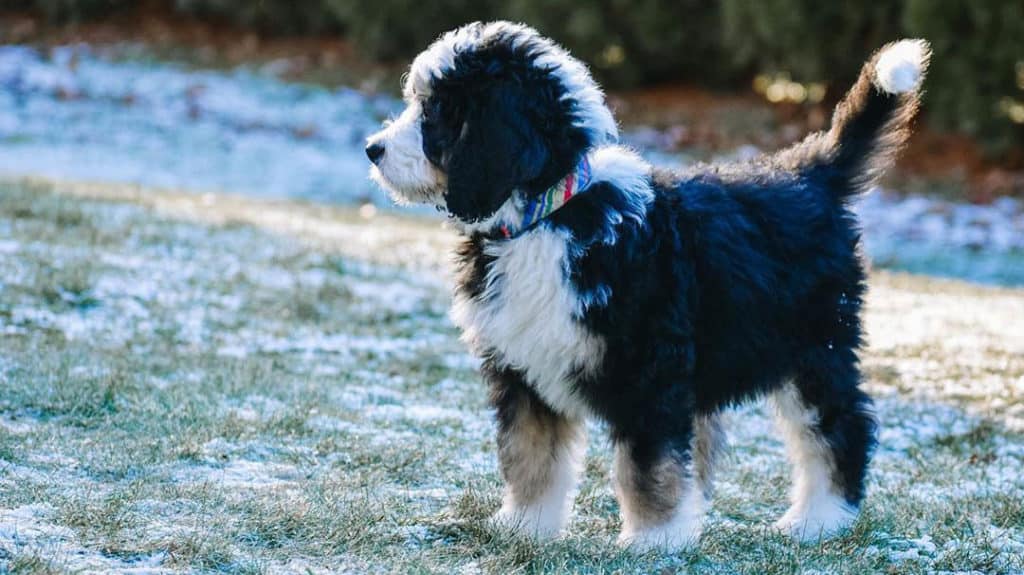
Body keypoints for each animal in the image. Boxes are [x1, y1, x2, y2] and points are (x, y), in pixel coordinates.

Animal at [366, 22, 929, 548]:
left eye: (437, 112)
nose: (373, 149)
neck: (548, 216)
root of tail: (810, 174)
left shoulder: (647, 371)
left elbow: (647, 464)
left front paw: (652, 540)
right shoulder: (522, 367)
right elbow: (531, 454)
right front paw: (526, 526)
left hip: (812, 348)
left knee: (837, 428)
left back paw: (819, 519)